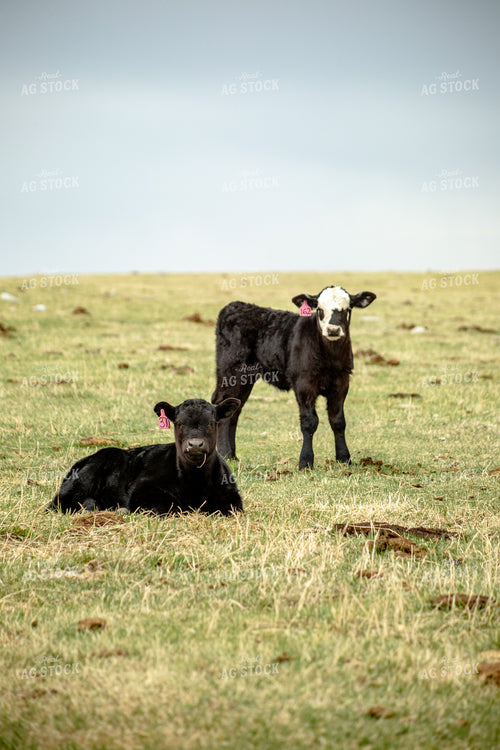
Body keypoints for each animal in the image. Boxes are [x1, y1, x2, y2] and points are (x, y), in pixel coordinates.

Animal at [48, 398, 243, 516]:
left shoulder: (232, 496)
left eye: (211, 423)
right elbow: (169, 506)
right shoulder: (142, 490)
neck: (195, 482)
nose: (195, 444)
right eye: (179, 423)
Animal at [211, 285, 376, 469]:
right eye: (319, 309)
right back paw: (225, 453)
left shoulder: (342, 382)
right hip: (230, 372)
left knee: (235, 409)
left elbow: (338, 421)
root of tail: (235, 306)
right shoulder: (304, 383)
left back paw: (232, 456)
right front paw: (305, 461)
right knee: (223, 404)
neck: (330, 356)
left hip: (246, 378)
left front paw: (344, 458)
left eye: (347, 309)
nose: (333, 330)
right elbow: (309, 421)